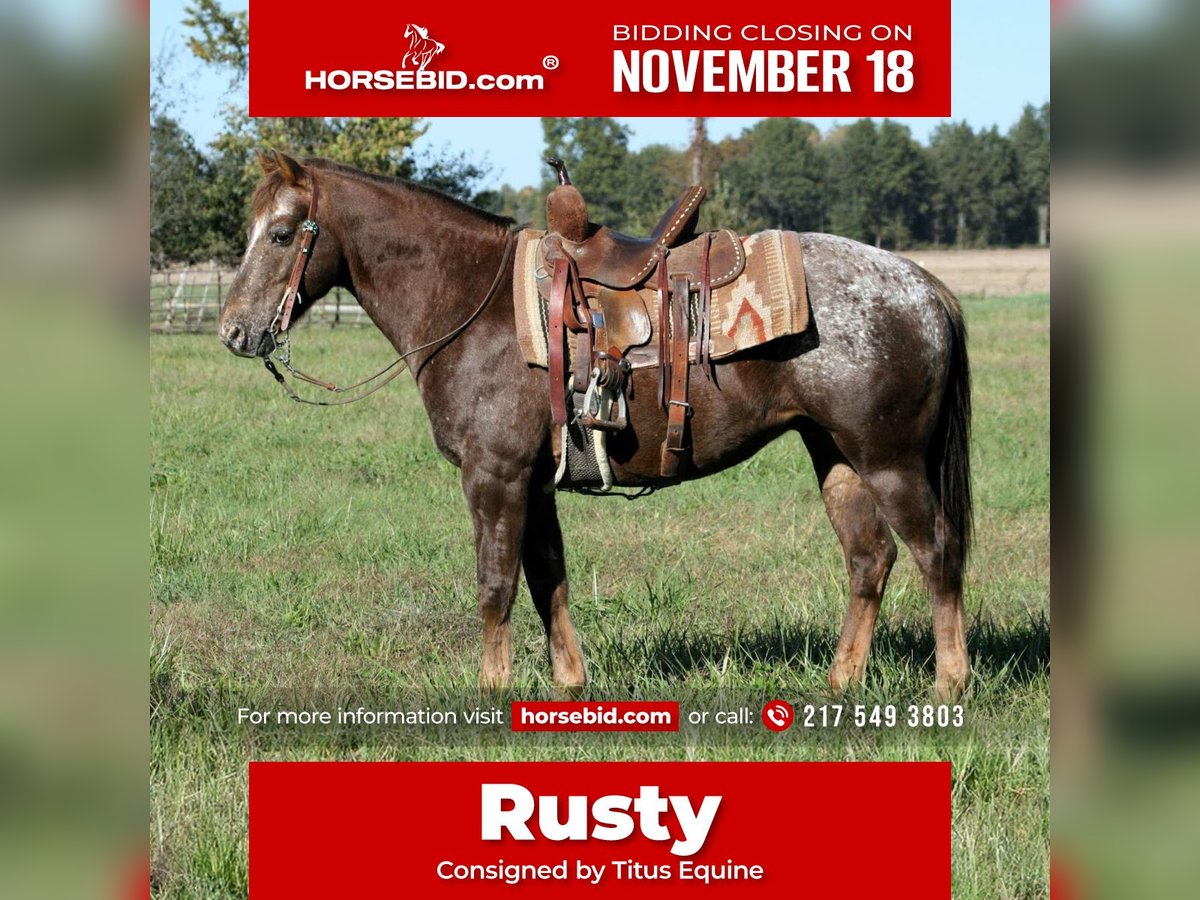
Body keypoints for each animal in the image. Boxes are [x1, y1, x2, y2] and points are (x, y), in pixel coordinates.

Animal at [218, 151, 974, 705]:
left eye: (281, 235)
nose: (234, 332)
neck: (473, 301)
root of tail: (920, 285)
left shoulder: (494, 476)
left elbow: (496, 582)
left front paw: (491, 690)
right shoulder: (534, 482)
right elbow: (546, 576)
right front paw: (569, 682)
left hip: (890, 461)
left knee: (936, 553)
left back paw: (950, 682)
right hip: (837, 456)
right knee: (869, 559)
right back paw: (842, 680)